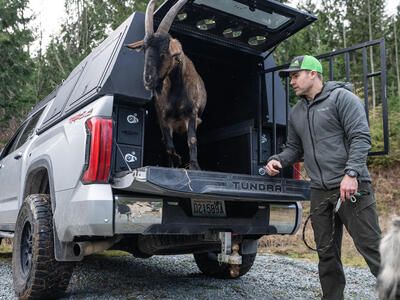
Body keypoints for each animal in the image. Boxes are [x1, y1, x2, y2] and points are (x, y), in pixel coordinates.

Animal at [126, 0, 206, 169]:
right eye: (144, 51)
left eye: (164, 52)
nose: (148, 80)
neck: (176, 93)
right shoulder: (163, 118)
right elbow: (168, 145)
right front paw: (176, 161)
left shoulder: (192, 114)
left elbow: (192, 140)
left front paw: (194, 166)